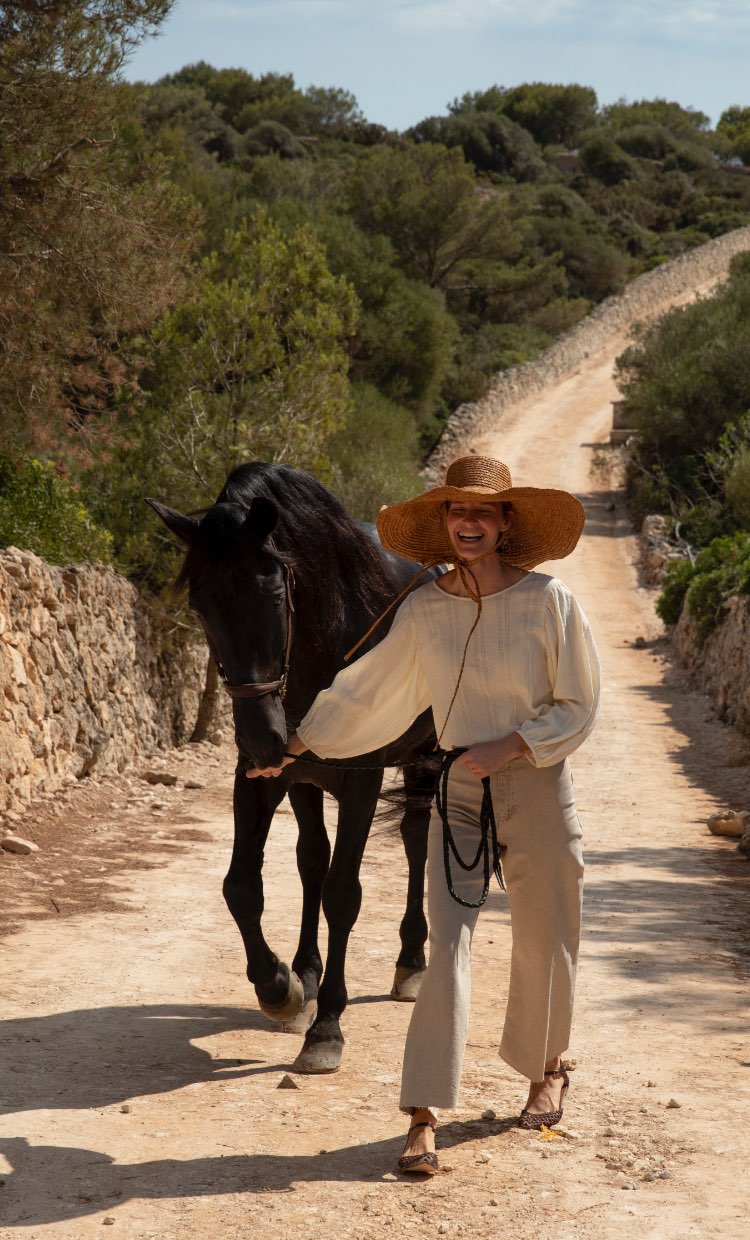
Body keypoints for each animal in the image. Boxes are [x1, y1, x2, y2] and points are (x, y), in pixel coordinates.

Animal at [149, 461, 438, 1071]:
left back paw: (411, 959)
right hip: (305, 781)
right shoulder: (259, 780)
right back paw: (306, 973)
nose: (263, 736)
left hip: (426, 757)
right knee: (312, 860)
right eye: (201, 605)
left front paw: (327, 1027)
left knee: (414, 838)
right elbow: (243, 886)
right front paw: (281, 985)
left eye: (277, 593)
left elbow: (343, 894)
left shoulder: (361, 781)